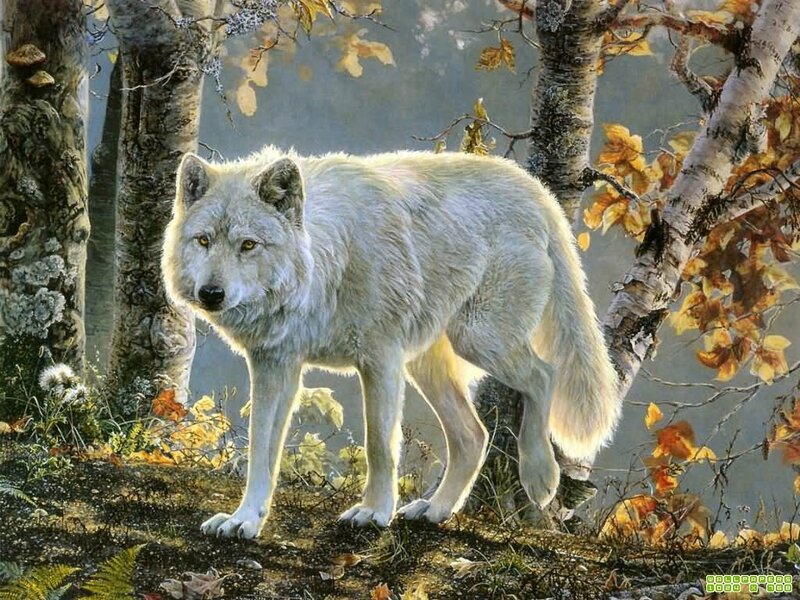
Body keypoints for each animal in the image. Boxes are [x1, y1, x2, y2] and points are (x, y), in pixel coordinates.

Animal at [161, 146, 620, 539]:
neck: (327, 261)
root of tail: (535, 191)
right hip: (429, 365)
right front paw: (245, 520)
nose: (211, 294)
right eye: (203, 240)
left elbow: (379, 445)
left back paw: (540, 477)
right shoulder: (275, 366)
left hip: (478, 339)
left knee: (545, 374)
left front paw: (375, 512)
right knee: (473, 435)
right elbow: (260, 448)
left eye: (248, 245)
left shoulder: (380, 360)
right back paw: (436, 509)